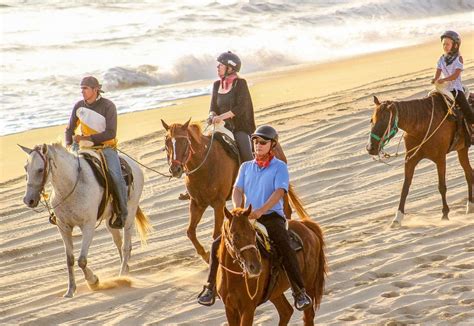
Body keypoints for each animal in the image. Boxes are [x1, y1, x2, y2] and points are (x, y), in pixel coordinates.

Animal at [19, 143, 150, 298]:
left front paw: (94, 281)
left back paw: (123, 274)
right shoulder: (63, 227)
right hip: (110, 221)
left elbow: (81, 260)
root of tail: (133, 165)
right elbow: (70, 259)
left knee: (126, 247)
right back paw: (125, 270)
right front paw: (70, 290)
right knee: (118, 242)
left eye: (40, 169)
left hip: (129, 214)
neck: (71, 187)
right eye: (25, 168)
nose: (28, 200)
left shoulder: (88, 226)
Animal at [162, 119, 292, 262]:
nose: (175, 169)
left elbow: (216, 234)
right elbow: (190, 232)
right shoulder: (197, 204)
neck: (206, 165)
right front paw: (206, 257)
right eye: (167, 142)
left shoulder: (218, 203)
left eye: (185, 142)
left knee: (287, 211)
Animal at [366, 94, 474, 227]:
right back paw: (470, 207)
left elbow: (441, 187)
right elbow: (405, 188)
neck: (422, 124)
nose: (370, 148)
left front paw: (445, 215)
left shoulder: (440, 159)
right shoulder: (410, 159)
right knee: (469, 173)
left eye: (385, 122)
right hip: (462, 149)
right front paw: (397, 218)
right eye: (371, 120)